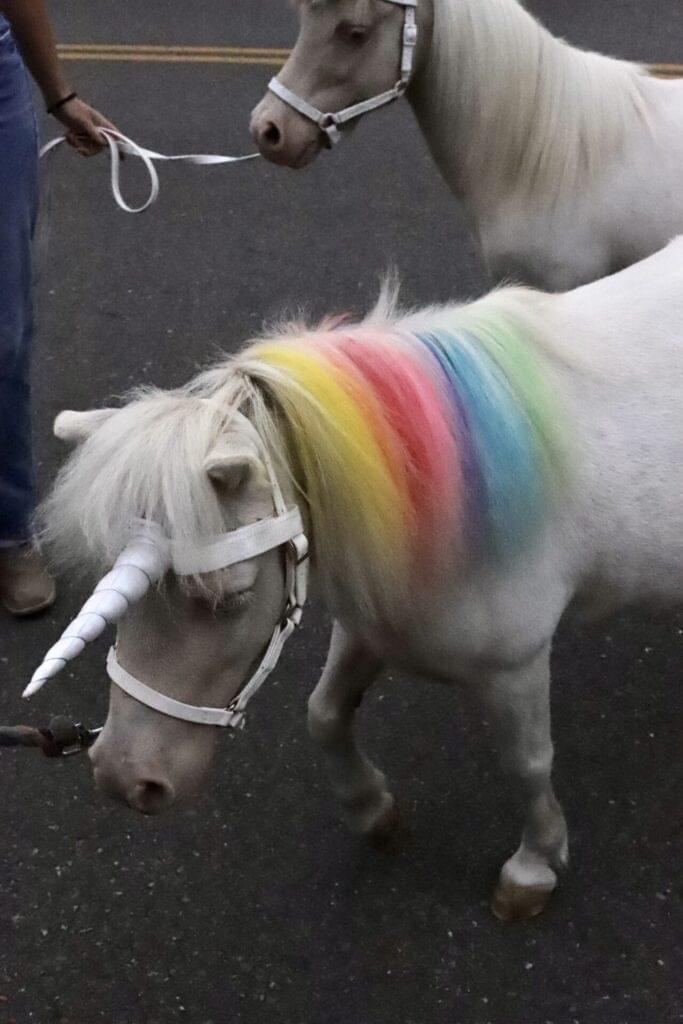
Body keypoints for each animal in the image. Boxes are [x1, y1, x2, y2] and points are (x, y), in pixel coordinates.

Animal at [30, 238, 682, 920]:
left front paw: (533, 866)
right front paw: (373, 811)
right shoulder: (372, 627)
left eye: (233, 595)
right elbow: (325, 714)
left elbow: (526, 763)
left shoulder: (516, 664)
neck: (452, 489)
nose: (123, 777)